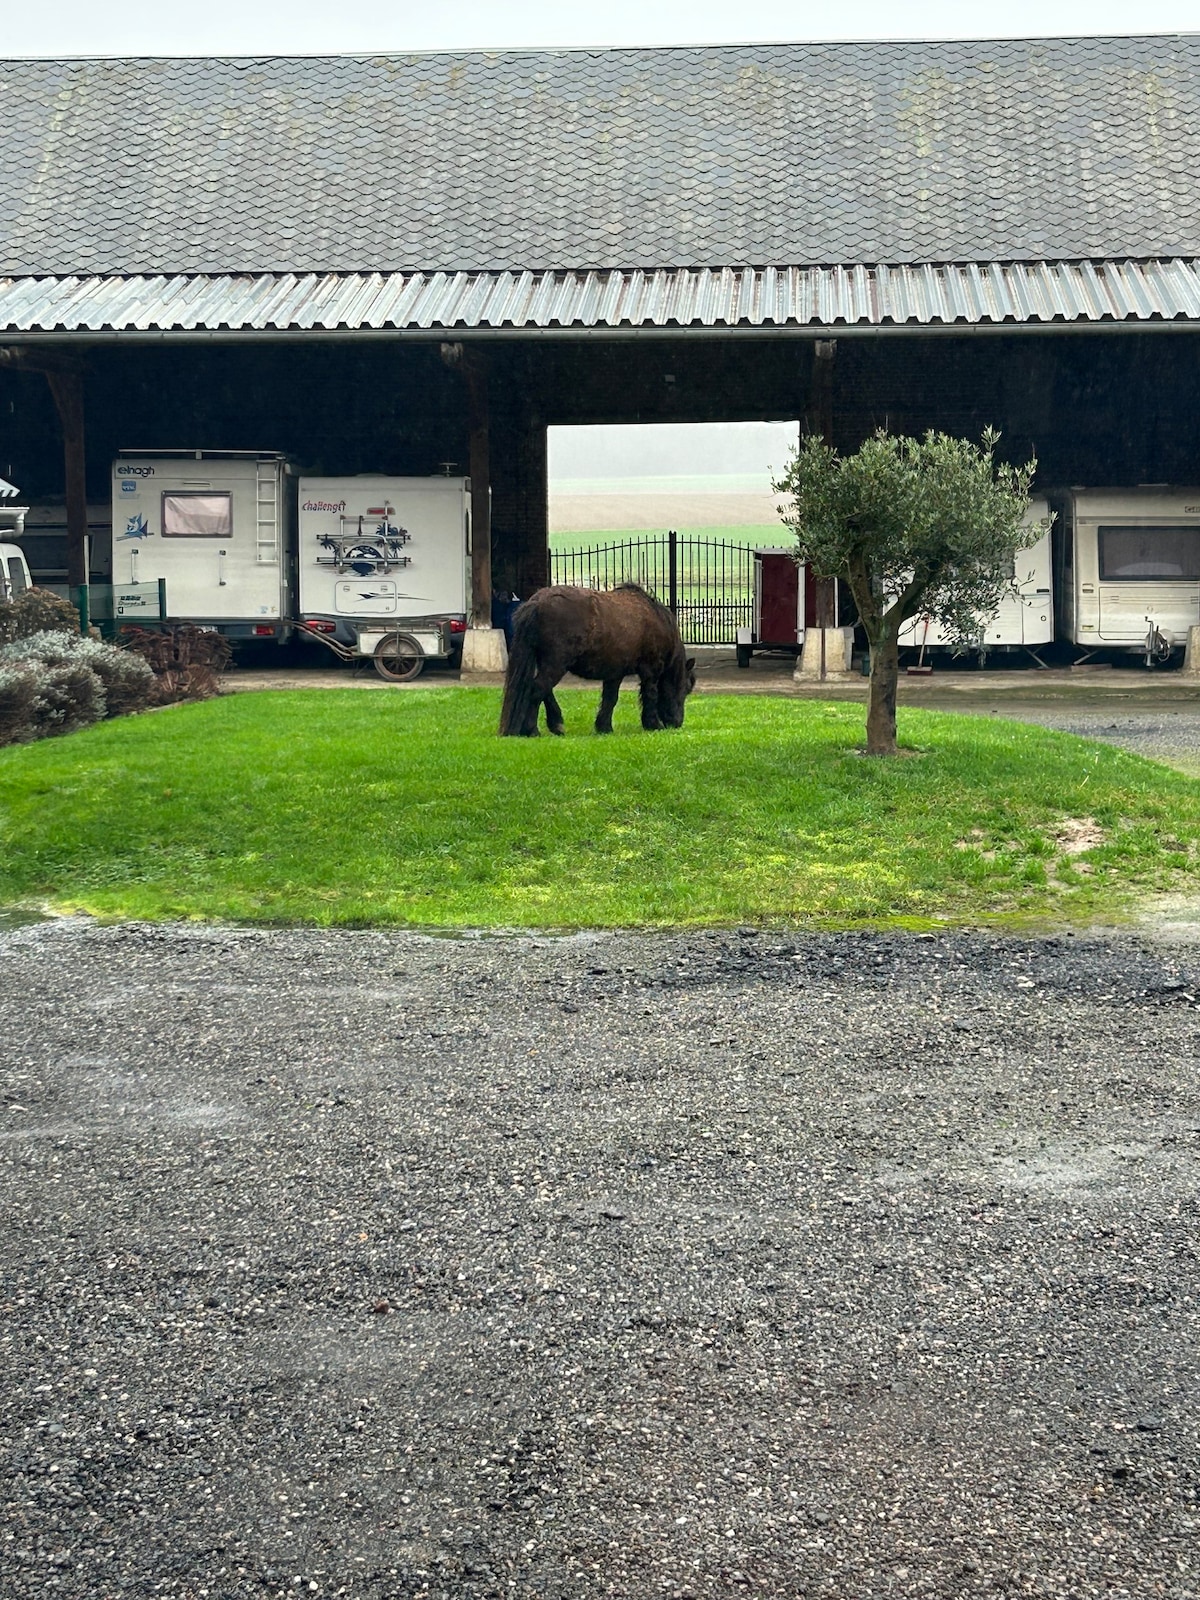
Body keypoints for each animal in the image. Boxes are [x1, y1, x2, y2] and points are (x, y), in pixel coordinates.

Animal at [499, 588, 694, 736]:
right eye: (685, 689)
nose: (677, 722)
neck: (658, 620)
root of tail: (537, 603)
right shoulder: (650, 670)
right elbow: (650, 695)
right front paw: (653, 724)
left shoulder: (615, 673)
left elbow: (610, 698)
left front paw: (604, 727)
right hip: (555, 664)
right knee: (537, 689)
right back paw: (532, 730)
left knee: (545, 690)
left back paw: (556, 725)